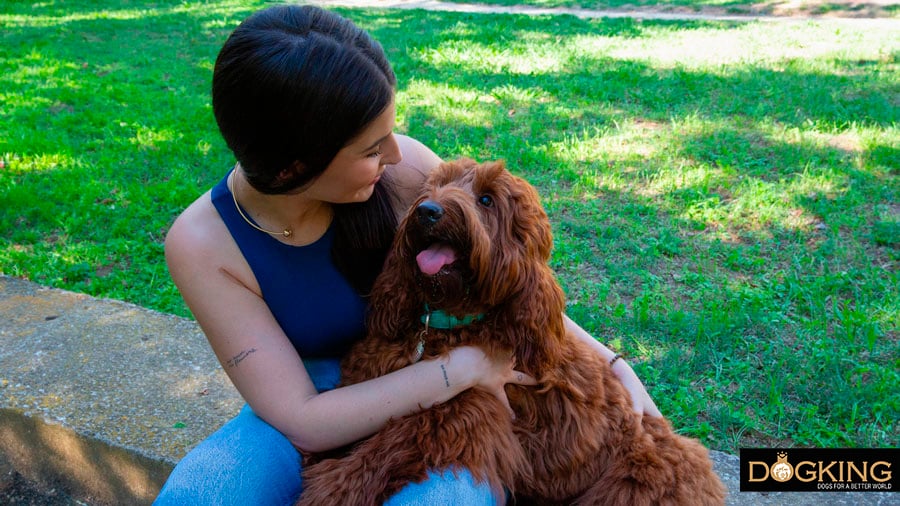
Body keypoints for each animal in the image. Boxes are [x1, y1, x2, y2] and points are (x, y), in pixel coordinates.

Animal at [298, 159, 728, 506]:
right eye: (435, 186)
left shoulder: (463, 416)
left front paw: (329, 489)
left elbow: (386, 447)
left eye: (487, 200)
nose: (427, 211)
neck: (449, 323)